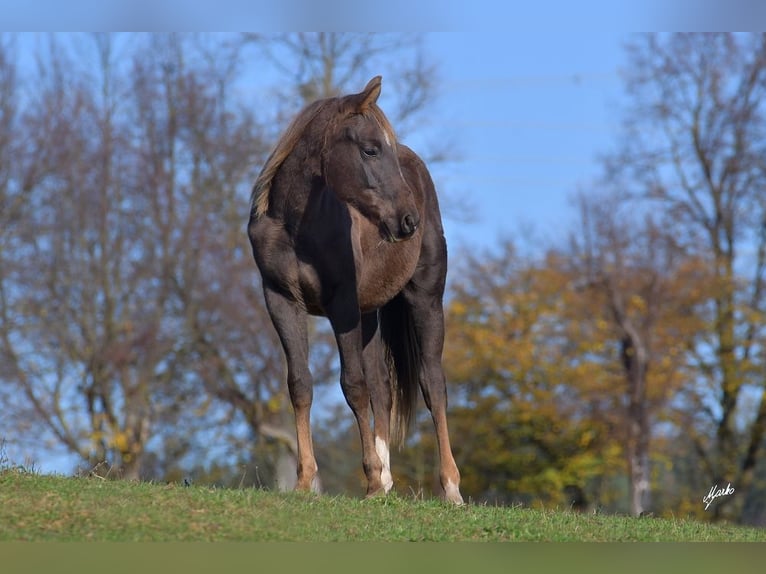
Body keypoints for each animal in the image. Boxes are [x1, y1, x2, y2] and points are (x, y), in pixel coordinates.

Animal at [248, 75, 462, 504]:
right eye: (370, 149)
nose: (408, 220)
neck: (295, 225)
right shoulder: (281, 300)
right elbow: (301, 383)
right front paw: (305, 481)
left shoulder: (341, 304)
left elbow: (353, 386)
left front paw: (371, 478)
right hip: (370, 313)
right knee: (384, 387)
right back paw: (388, 481)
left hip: (425, 300)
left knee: (433, 385)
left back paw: (450, 489)